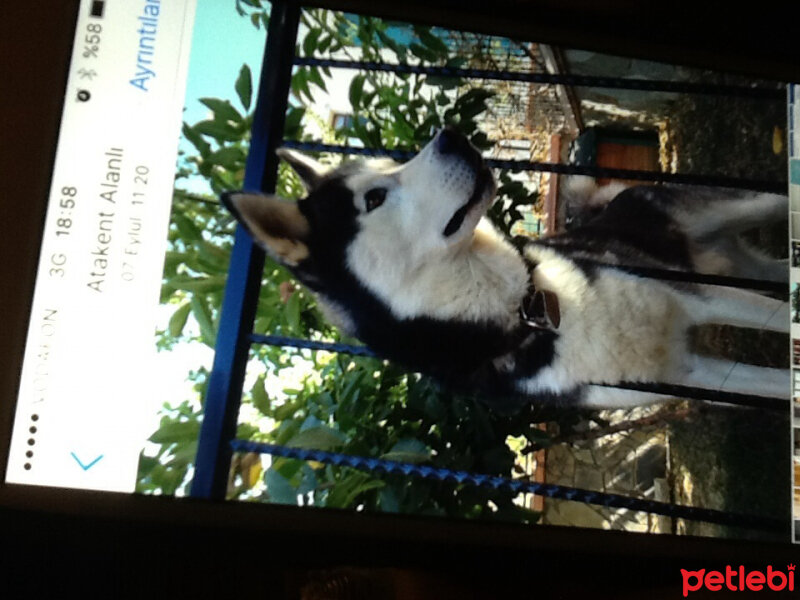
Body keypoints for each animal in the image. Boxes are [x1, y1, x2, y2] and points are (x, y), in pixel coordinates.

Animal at [222, 130, 792, 412]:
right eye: (375, 197)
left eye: (390, 164)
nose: (451, 134)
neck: (531, 317)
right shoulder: (692, 374)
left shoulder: (703, 296)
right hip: (733, 264)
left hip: (742, 221)